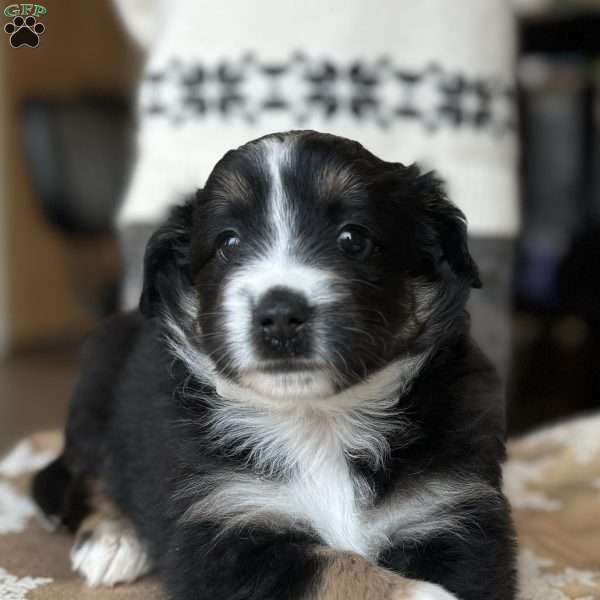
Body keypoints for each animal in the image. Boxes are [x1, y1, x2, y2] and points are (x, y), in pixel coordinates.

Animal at [34, 131, 516, 600]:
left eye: (353, 238)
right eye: (228, 242)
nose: (280, 315)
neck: (319, 423)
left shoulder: (452, 509)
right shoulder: (222, 525)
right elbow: (336, 570)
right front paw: (423, 594)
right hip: (98, 381)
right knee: (95, 474)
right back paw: (112, 541)